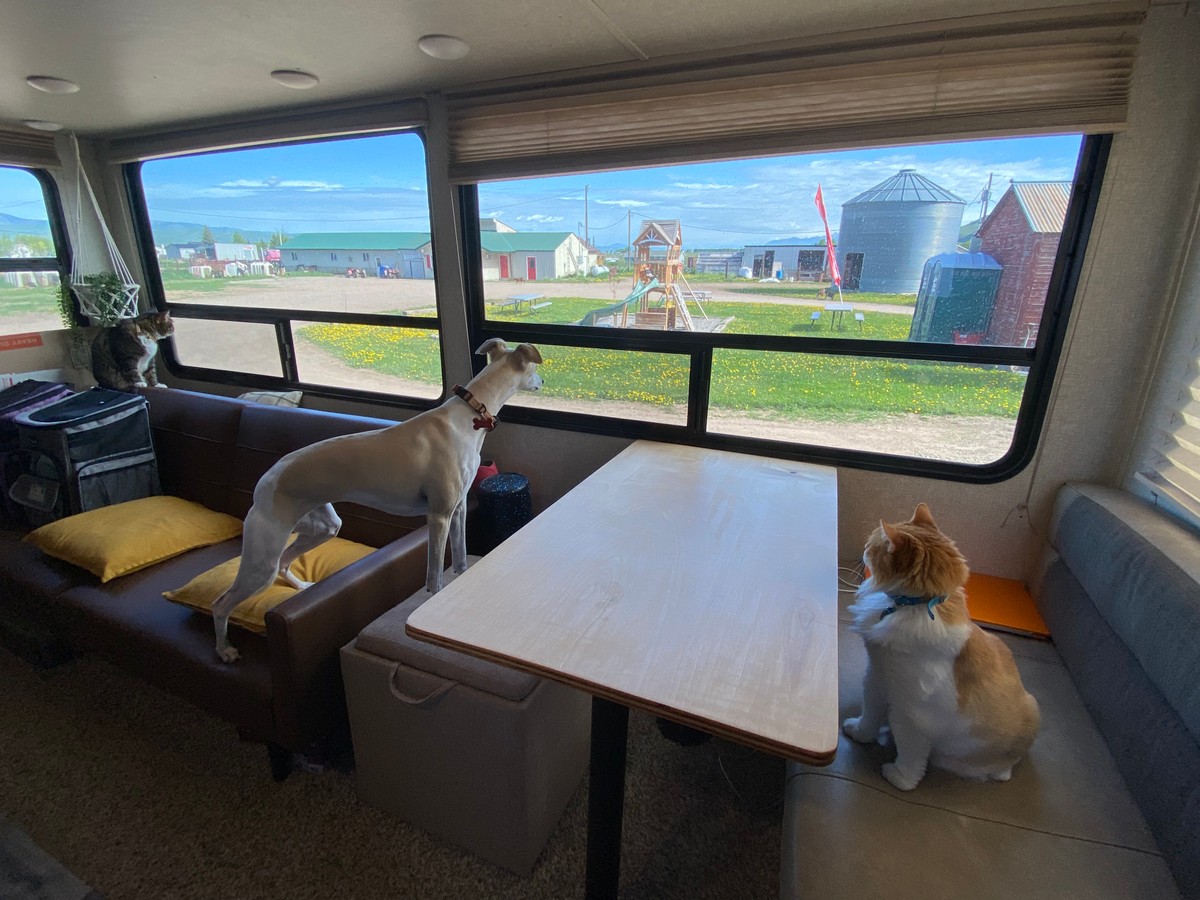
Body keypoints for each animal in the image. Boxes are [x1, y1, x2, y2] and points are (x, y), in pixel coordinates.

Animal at [212, 338, 544, 662]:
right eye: (535, 368)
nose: (542, 381)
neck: (469, 415)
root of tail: (265, 480)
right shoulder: (438, 515)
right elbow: (435, 576)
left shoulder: (458, 508)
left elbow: (461, 560)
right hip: (261, 559)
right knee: (222, 602)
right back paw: (224, 649)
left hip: (322, 526)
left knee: (284, 561)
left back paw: (302, 586)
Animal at [844, 504, 1041, 792]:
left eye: (871, 546)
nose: (862, 550)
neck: (912, 605)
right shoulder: (877, 676)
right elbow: (869, 712)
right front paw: (860, 733)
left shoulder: (909, 713)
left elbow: (910, 754)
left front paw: (900, 779)